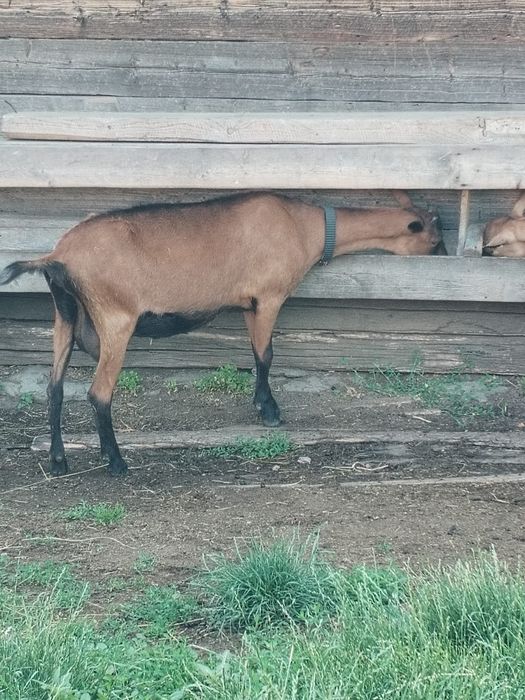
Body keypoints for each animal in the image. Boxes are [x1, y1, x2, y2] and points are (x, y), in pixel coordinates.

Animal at [0, 191, 442, 476]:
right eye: (431, 237)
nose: (441, 252)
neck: (307, 226)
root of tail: (57, 257)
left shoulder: (248, 304)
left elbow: (255, 353)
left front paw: (260, 402)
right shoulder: (269, 296)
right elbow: (266, 355)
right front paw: (270, 412)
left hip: (64, 317)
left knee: (54, 388)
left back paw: (59, 462)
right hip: (115, 319)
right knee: (98, 394)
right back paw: (117, 463)